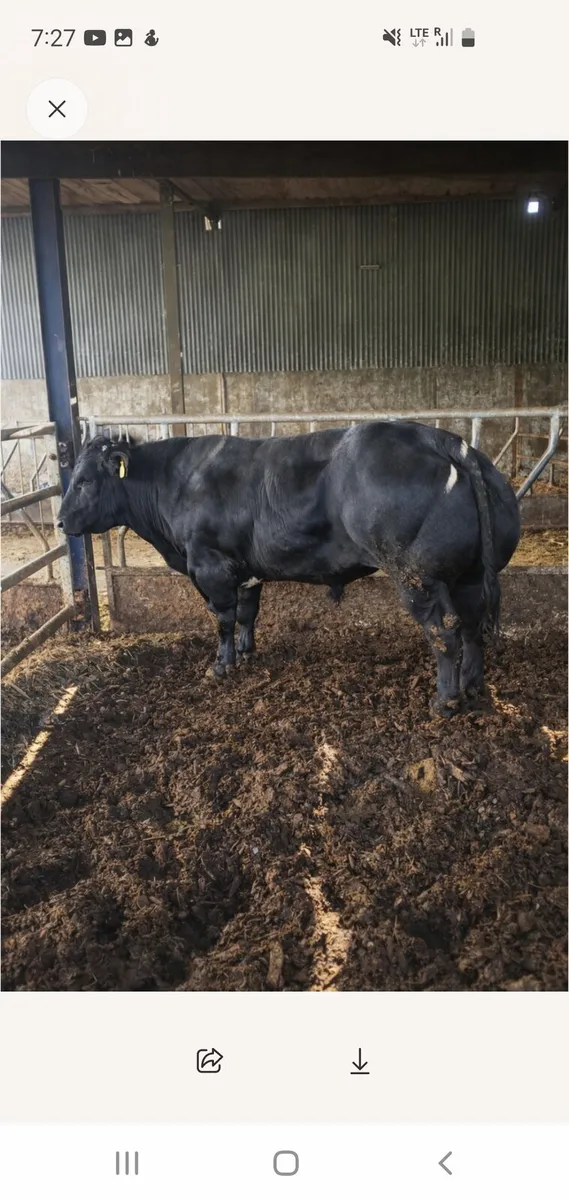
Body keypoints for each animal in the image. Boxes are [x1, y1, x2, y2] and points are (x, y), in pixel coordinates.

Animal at [57, 421, 520, 716]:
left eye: (84, 480)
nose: (61, 522)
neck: (176, 480)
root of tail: (440, 438)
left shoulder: (209, 564)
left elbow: (223, 618)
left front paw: (221, 665)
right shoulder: (245, 567)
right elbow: (247, 612)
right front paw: (246, 653)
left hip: (418, 577)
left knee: (444, 634)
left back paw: (445, 701)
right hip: (468, 576)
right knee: (472, 626)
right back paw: (473, 686)